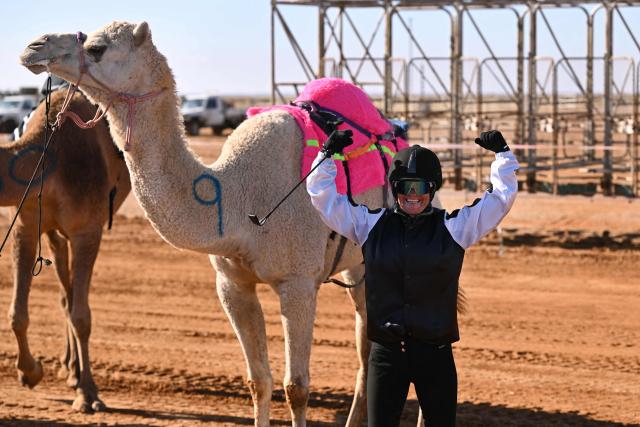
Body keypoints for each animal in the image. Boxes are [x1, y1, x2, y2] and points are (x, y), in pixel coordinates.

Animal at [1, 89, 131, 412]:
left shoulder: (87, 231)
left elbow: (82, 317)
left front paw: (89, 394)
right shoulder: (24, 225)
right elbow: (17, 312)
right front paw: (30, 373)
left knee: (72, 297)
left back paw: (75, 374)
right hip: (53, 234)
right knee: (65, 292)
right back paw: (69, 368)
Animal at [19, 21, 438, 426]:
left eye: (97, 48)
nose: (34, 46)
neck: (237, 198)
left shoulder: (299, 282)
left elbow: (296, 388)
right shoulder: (232, 284)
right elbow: (258, 381)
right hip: (358, 268)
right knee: (367, 343)